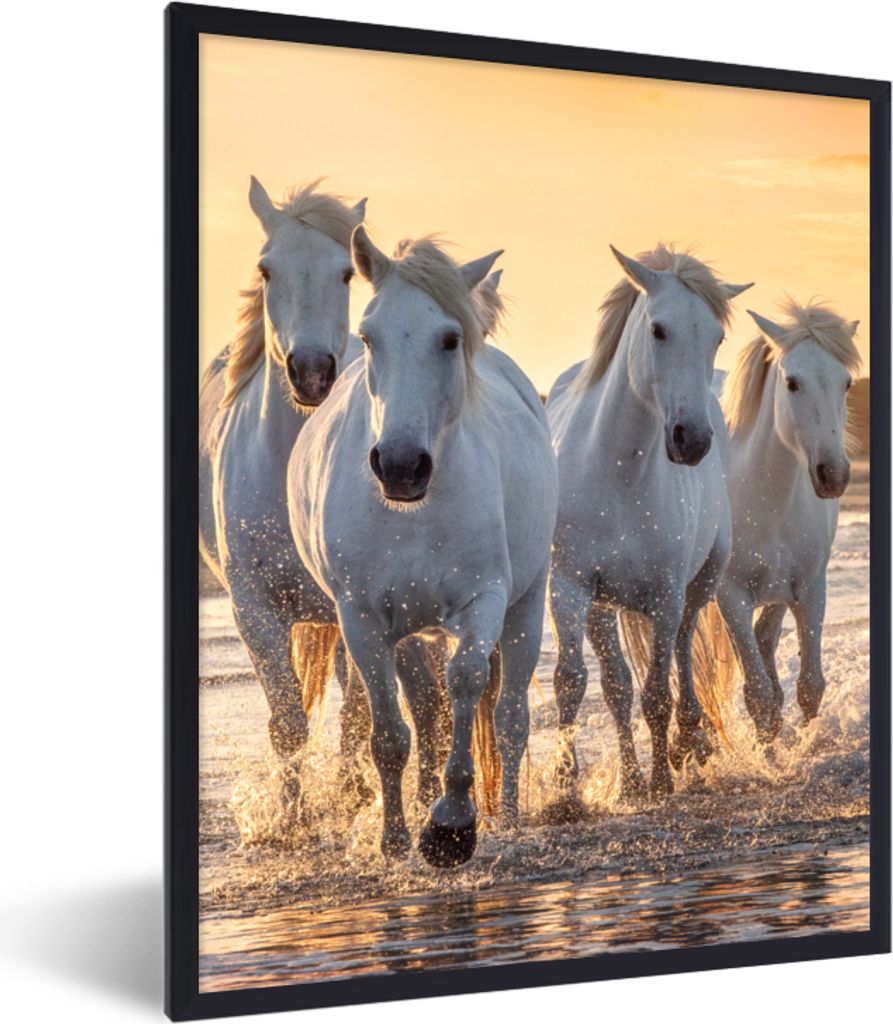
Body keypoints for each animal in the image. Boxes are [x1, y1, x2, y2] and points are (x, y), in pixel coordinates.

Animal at [288, 230, 557, 867]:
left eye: (450, 338)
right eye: (368, 336)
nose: (401, 465)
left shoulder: (485, 600)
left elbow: (467, 683)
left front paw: (451, 825)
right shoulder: (361, 619)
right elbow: (390, 734)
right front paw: (394, 840)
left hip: (527, 604)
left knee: (509, 718)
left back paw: (509, 818)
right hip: (411, 631)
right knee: (427, 716)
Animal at [546, 245, 752, 800]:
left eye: (716, 336)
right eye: (659, 329)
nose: (692, 440)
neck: (618, 471)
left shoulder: (665, 595)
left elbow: (659, 690)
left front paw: (662, 778)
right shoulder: (570, 587)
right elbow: (573, 681)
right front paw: (565, 793)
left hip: (699, 586)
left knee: (681, 651)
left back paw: (688, 743)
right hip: (602, 606)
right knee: (617, 683)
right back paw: (632, 778)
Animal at [713, 300, 861, 743]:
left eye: (846, 383)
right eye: (792, 383)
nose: (834, 475)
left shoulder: (810, 588)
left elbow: (810, 685)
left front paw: (806, 746)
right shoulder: (731, 597)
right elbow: (758, 695)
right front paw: (770, 755)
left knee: (766, 639)